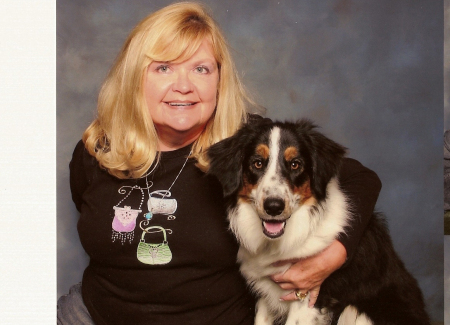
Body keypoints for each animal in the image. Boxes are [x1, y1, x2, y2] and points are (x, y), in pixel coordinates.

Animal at [207, 118, 428, 324]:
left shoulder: (308, 300)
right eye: (258, 163)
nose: (274, 207)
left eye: (295, 164)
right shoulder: (264, 292)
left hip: (357, 312)